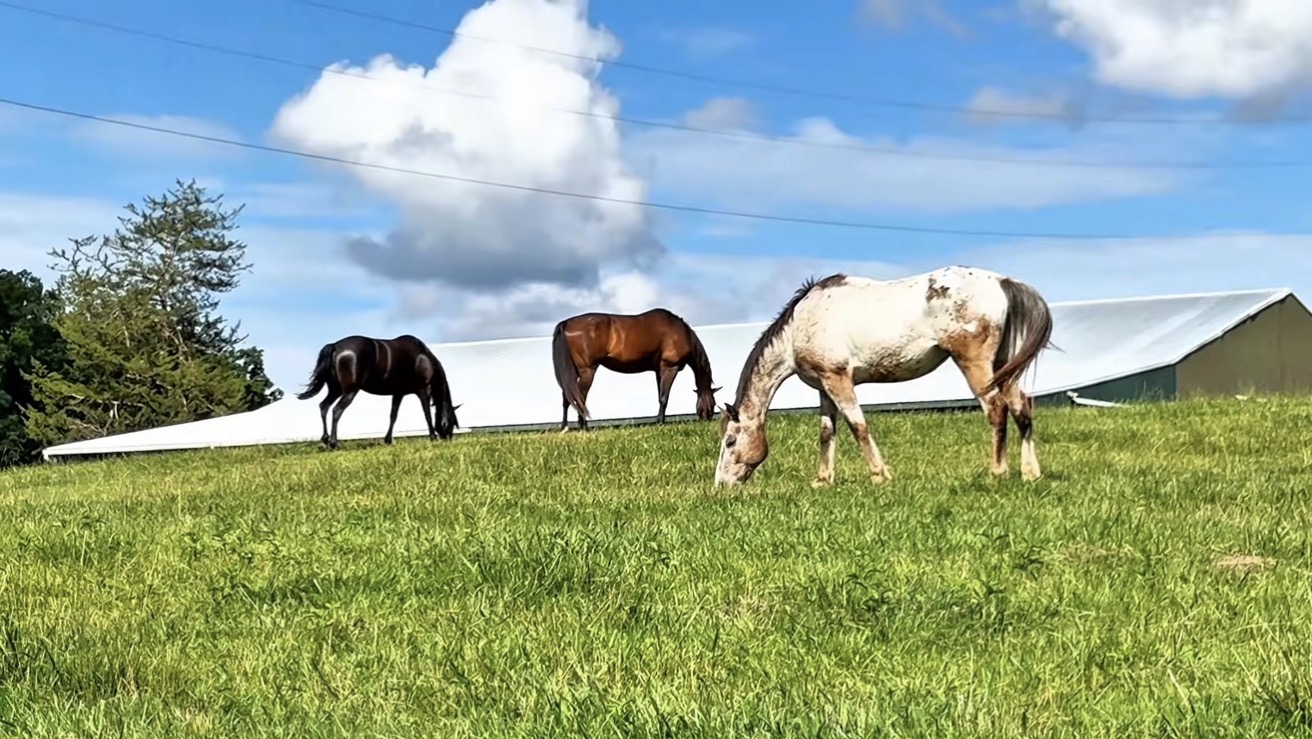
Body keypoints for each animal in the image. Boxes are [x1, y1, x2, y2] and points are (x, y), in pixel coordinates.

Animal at [296, 334, 461, 449]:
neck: (423, 357)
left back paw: (325, 439)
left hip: (335, 390)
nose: (448, 439)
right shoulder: (423, 391)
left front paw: (388, 440)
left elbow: (393, 416)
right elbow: (427, 414)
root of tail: (335, 346)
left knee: (324, 406)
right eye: (452, 423)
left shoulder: (398, 394)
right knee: (336, 410)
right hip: (349, 392)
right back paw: (334, 442)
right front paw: (432, 437)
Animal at [551, 308, 721, 431]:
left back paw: (565, 427)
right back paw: (584, 427)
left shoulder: (659, 371)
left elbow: (660, 396)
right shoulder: (669, 368)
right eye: (713, 404)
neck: (680, 331)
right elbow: (664, 398)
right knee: (580, 397)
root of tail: (566, 323)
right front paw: (660, 423)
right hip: (587, 371)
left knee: (567, 397)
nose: (707, 420)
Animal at [714, 266, 1054, 487]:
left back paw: (997, 472)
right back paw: (1030, 473)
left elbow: (858, 426)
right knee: (1022, 408)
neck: (801, 324)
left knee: (996, 409)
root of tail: (1002, 281)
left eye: (730, 441)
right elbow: (826, 432)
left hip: (975, 365)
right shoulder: (824, 386)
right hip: (1004, 367)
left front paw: (880, 475)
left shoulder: (839, 380)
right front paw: (822, 480)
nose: (721, 485)